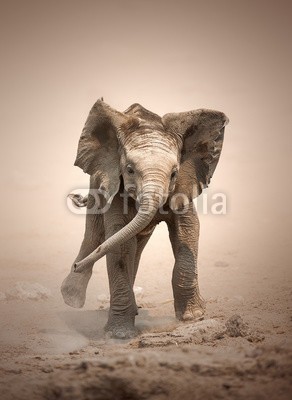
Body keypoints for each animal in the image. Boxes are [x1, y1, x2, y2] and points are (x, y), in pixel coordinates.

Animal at [61, 99, 229, 338]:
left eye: (174, 173)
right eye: (130, 170)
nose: (77, 266)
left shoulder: (185, 183)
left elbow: (187, 229)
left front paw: (193, 317)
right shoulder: (114, 184)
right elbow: (119, 243)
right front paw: (119, 335)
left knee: (135, 245)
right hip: (97, 183)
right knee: (95, 235)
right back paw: (72, 298)